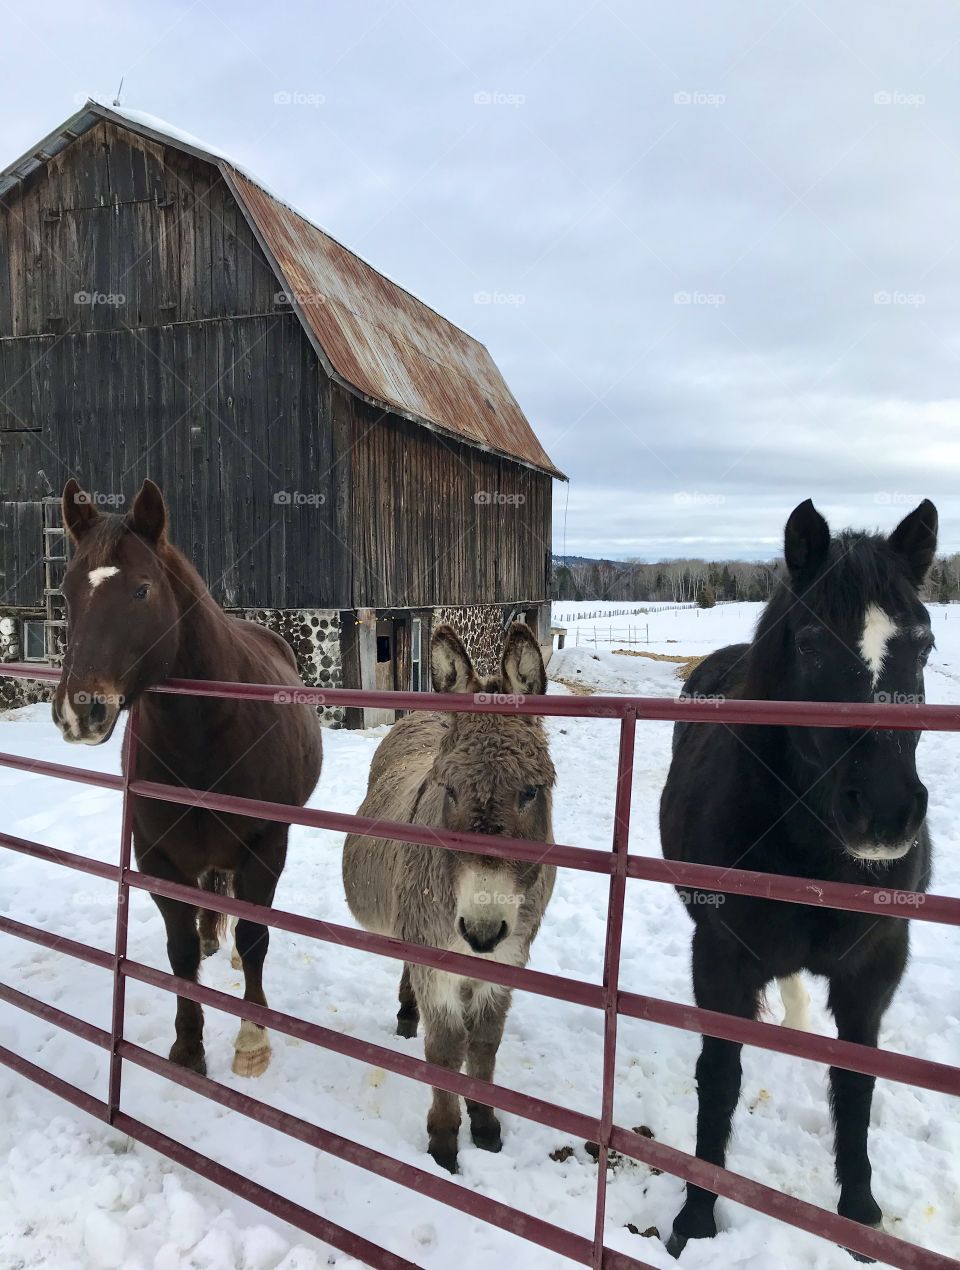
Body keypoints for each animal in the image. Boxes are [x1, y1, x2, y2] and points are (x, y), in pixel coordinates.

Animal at [52, 478, 323, 1079]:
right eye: (66, 591)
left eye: (141, 591)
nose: (81, 711)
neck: (205, 734)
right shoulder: (157, 855)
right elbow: (179, 952)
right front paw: (188, 1047)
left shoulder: (266, 847)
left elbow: (253, 936)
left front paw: (252, 1040)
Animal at [342, 623, 556, 1173]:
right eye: (449, 790)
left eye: (530, 792)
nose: (480, 931)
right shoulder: (435, 954)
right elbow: (444, 1049)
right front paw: (442, 1142)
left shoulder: (508, 958)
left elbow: (483, 1043)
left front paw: (484, 1124)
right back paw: (406, 1012)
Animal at [660, 497, 937, 1259]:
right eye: (811, 644)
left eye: (924, 644)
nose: (886, 813)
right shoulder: (720, 959)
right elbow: (720, 1077)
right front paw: (696, 1217)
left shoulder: (874, 968)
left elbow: (856, 1083)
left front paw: (860, 1213)